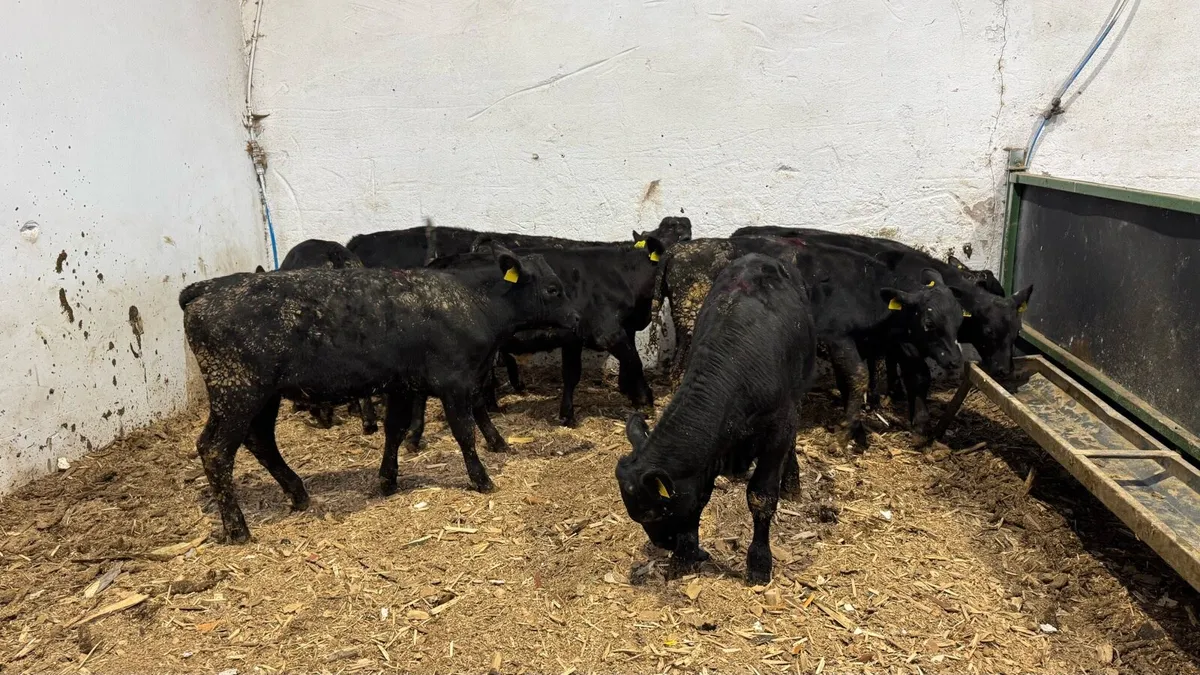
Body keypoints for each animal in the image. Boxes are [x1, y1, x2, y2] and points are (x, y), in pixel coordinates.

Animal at [617, 253, 818, 584]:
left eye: (651, 512)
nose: (662, 544)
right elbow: (700, 496)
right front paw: (685, 556)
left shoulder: (778, 427)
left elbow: (761, 496)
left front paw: (759, 562)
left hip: (799, 391)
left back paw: (791, 481)